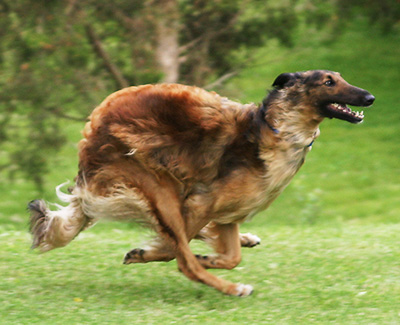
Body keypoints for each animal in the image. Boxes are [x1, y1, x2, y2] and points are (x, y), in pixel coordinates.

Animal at [28, 70, 376, 296]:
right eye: (329, 82)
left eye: (340, 77)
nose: (370, 97)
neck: (276, 130)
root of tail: (94, 126)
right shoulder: (201, 202)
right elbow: (177, 251)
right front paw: (176, 255)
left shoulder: (228, 213)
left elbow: (231, 257)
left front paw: (213, 255)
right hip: (160, 188)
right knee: (182, 260)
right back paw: (232, 288)